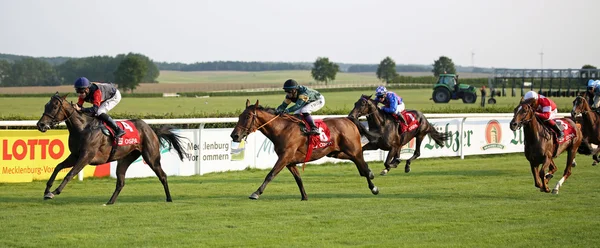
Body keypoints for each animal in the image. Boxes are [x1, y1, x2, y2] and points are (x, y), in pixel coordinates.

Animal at [36, 93, 186, 205]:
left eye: (55, 106)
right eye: (46, 105)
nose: (40, 124)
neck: (83, 128)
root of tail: (151, 129)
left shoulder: (86, 156)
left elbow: (70, 173)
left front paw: (55, 192)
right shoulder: (75, 155)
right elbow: (58, 167)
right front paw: (47, 191)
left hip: (151, 157)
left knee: (163, 175)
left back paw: (169, 198)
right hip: (125, 159)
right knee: (121, 182)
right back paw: (110, 202)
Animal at [230, 99, 380, 200]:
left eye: (248, 116)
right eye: (239, 116)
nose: (234, 135)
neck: (281, 129)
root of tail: (349, 119)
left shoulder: (284, 157)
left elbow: (270, 174)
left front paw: (256, 193)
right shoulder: (290, 161)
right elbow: (298, 179)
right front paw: (304, 196)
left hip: (353, 149)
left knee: (361, 162)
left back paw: (373, 186)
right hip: (335, 153)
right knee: (359, 163)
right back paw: (369, 174)